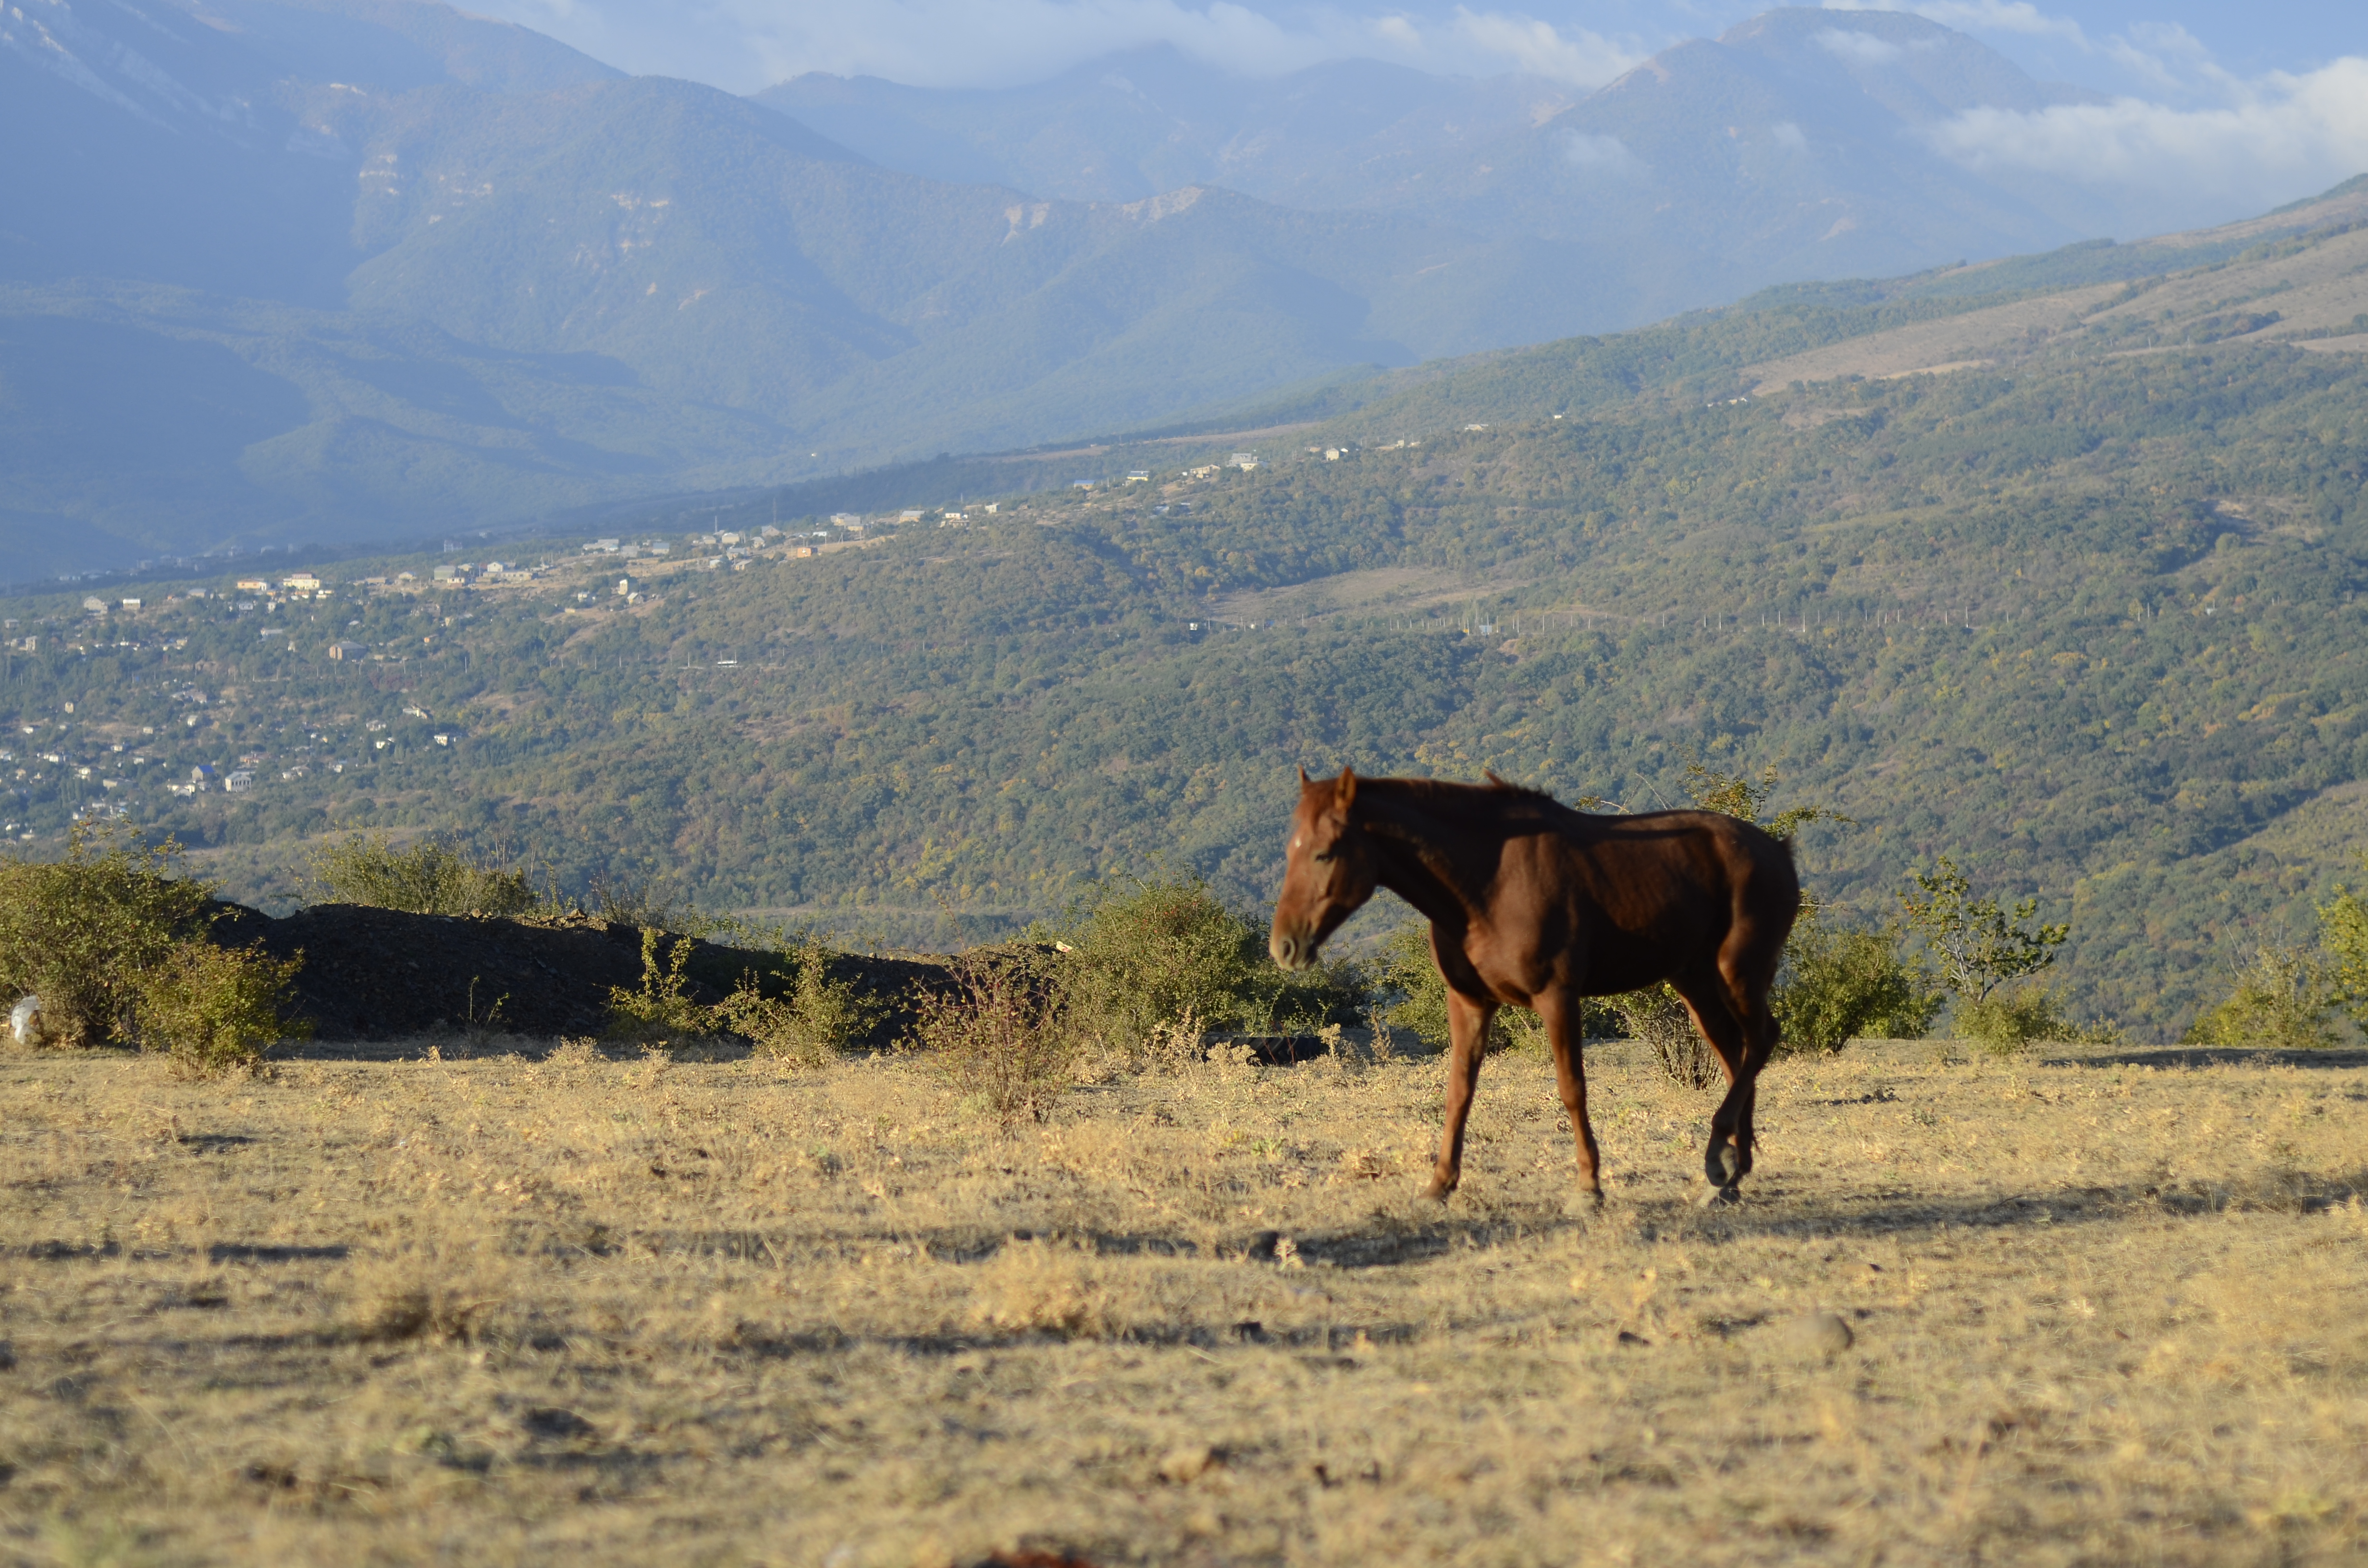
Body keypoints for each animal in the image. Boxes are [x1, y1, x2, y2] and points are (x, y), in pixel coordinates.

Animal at [1279, 767, 1790, 1208]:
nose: (1284, 945)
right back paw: (1730, 1172)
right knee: (1734, 1053)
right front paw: (1439, 1186)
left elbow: (1572, 1088)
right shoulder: (1469, 1003)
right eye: (1291, 850)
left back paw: (1720, 1161)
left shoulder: (1557, 997)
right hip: (1694, 981)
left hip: (1739, 973)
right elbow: (1458, 1092)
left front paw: (1588, 1188)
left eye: (1325, 853)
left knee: (1761, 1041)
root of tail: (1777, 850)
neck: (1487, 884)